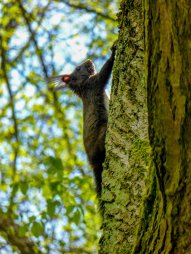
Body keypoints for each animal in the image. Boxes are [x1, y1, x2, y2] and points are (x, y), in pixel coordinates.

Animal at [47, 44, 116, 204]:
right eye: (78, 68)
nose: (89, 60)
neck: (83, 86)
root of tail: (93, 162)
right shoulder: (94, 83)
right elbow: (104, 72)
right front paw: (113, 51)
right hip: (101, 135)